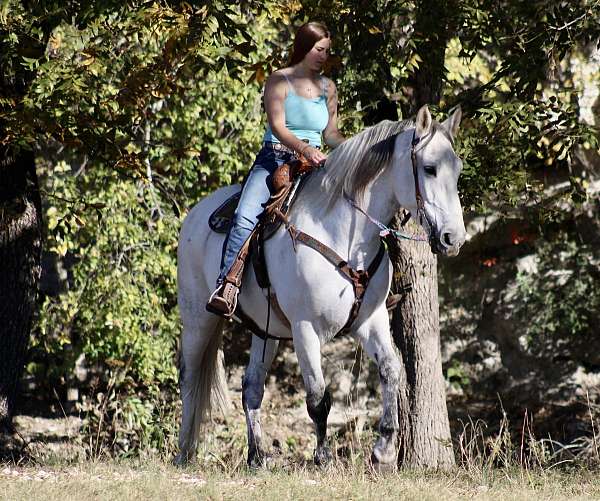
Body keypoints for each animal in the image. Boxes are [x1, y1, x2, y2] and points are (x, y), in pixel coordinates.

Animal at [176, 105, 466, 468]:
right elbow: (318, 396)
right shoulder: (305, 329)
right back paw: (184, 452)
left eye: (457, 170)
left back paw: (257, 457)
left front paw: (383, 448)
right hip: (198, 319)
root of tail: (194, 216)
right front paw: (323, 458)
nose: (454, 239)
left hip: (265, 331)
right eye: (429, 168)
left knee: (251, 387)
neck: (342, 235)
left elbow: (391, 371)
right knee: (189, 378)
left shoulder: (370, 321)